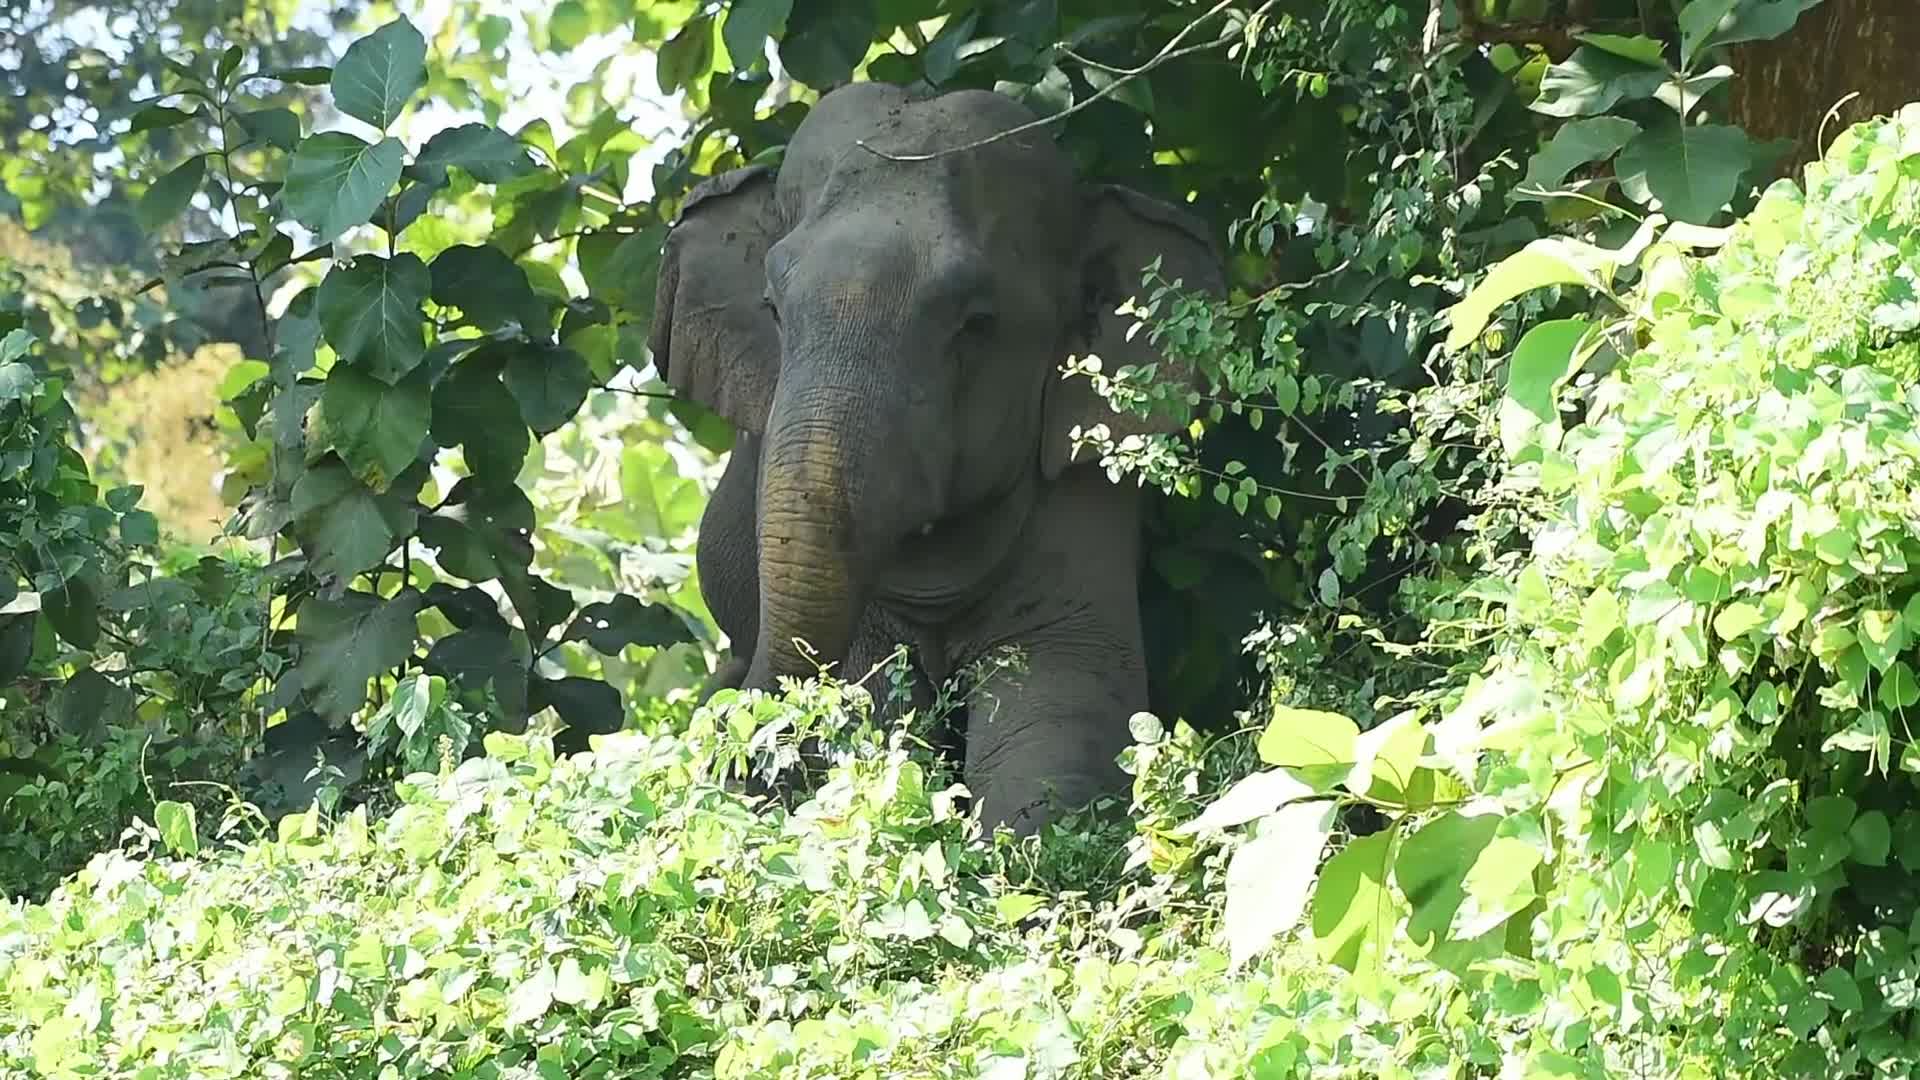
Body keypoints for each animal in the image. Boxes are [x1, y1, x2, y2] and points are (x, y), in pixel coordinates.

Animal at [650, 81, 1224, 835]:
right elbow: (875, 693)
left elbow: (1062, 700)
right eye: (772, 306)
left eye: (976, 324)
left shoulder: (1079, 492)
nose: (745, 763)